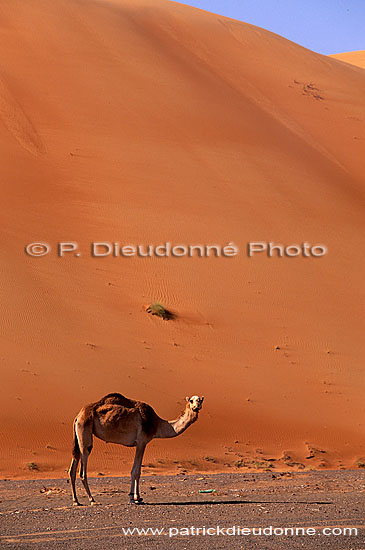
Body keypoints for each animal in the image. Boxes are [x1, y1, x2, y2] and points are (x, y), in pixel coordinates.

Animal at [68, 394, 203, 506]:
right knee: (83, 469)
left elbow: (137, 471)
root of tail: (78, 416)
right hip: (85, 432)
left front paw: (137, 498)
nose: (196, 406)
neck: (156, 424)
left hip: (79, 435)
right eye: (191, 400)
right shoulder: (141, 442)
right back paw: (92, 500)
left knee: (72, 468)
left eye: (200, 400)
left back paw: (76, 501)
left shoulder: (141, 443)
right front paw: (134, 498)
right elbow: (136, 471)